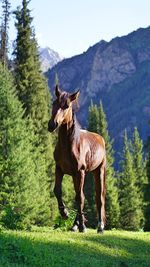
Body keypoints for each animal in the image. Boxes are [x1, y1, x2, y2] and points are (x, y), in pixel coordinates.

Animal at [47, 85, 105, 232]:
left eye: (67, 106)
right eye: (54, 103)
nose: (52, 125)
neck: (69, 145)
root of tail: (100, 138)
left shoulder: (80, 172)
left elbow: (80, 198)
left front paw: (83, 226)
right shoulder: (59, 169)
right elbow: (57, 191)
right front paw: (65, 214)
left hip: (98, 171)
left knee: (99, 198)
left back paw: (100, 227)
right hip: (77, 175)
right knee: (81, 196)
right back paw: (75, 225)